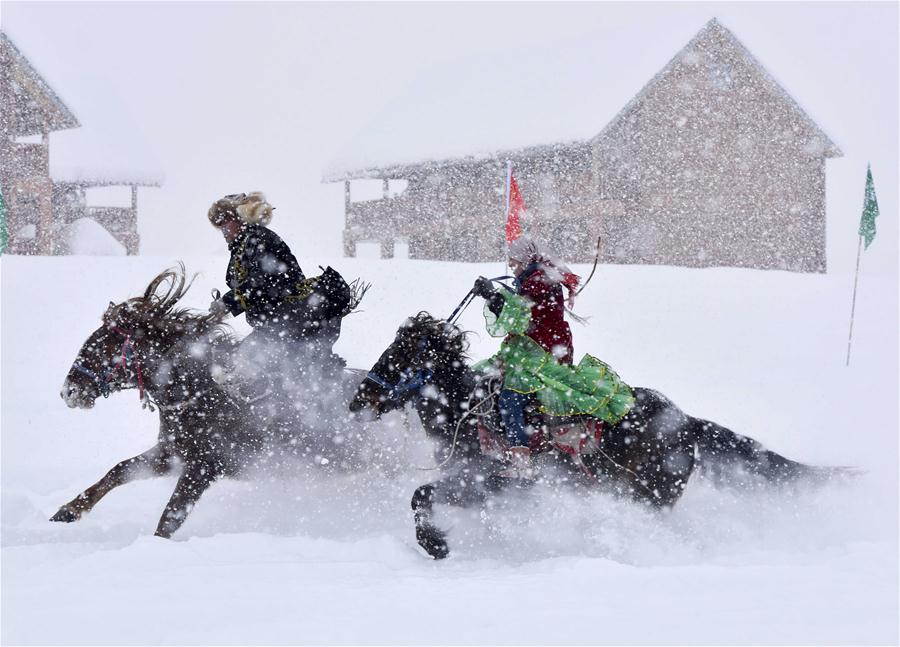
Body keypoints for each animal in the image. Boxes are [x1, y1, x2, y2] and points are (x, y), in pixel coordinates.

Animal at [350, 312, 844, 556]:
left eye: (397, 357)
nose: (359, 400)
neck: (471, 411)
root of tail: (686, 422)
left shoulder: (493, 481)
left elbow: (421, 495)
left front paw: (436, 545)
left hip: (648, 496)